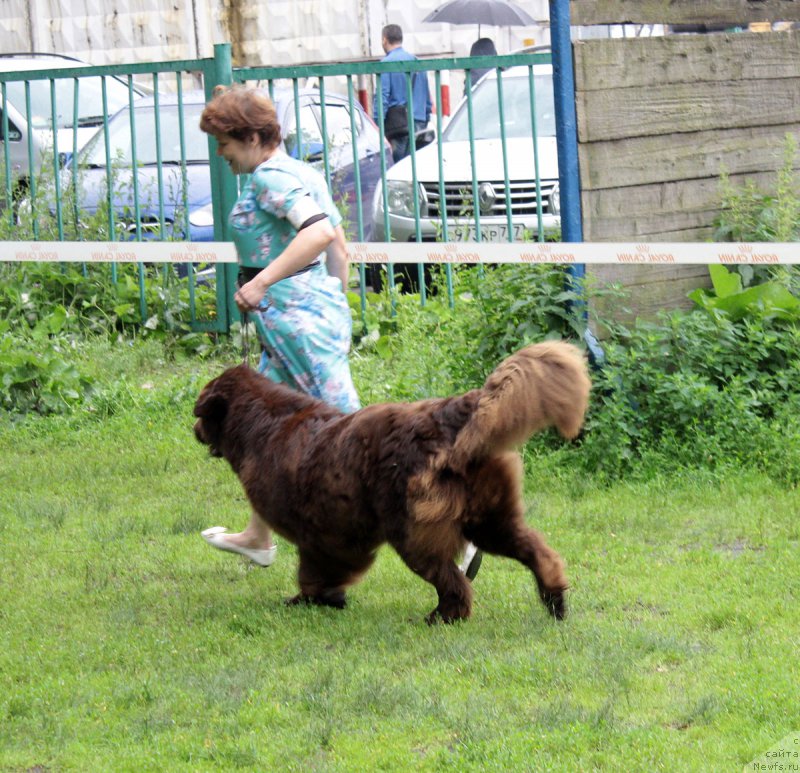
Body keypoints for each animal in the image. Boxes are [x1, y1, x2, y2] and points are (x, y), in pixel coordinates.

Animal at [195, 342, 588, 620]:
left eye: (200, 413)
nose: (194, 428)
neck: (262, 424)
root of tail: (454, 411)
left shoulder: (317, 531)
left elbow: (313, 569)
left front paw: (310, 599)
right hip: (489, 516)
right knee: (536, 551)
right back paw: (555, 600)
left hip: (413, 529)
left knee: (452, 580)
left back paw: (443, 616)